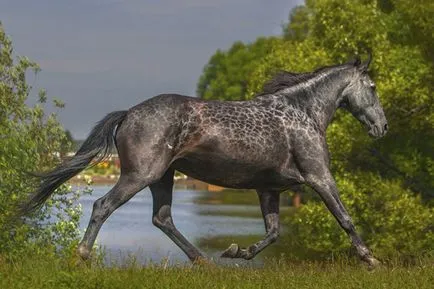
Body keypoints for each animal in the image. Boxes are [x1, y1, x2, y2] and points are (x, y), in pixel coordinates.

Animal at [23, 55, 388, 266]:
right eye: (372, 87)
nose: (382, 127)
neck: (302, 113)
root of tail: (129, 113)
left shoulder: (269, 190)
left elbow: (273, 233)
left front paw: (236, 252)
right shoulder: (319, 177)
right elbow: (345, 218)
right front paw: (371, 259)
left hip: (162, 178)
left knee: (163, 219)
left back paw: (204, 261)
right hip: (141, 175)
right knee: (103, 206)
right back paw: (82, 256)